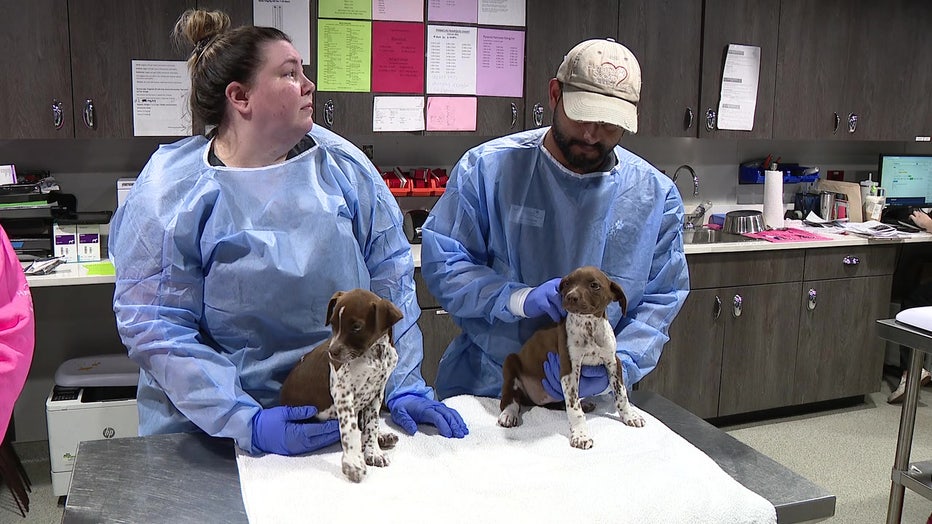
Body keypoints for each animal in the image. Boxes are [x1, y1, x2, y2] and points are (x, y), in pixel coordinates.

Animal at [280, 288, 404, 482]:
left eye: (356, 327)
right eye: (332, 324)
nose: (332, 352)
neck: (373, 353)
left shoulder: (377, 393)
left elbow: (372, 424)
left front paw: (373, 451)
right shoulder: (343, 393)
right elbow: (350, 430)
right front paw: (353, 463)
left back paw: (382, 437)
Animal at [498, 266, 644, 450]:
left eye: (594, 285)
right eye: (567, 283)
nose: (570, 296)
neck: (589, 327)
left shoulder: (613, 362)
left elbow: (621, 394)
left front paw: (630, 415)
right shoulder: (569, 369)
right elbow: (574, 408)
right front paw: (581, 435)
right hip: (510, 363)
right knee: (511, 398)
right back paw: (508, 413)